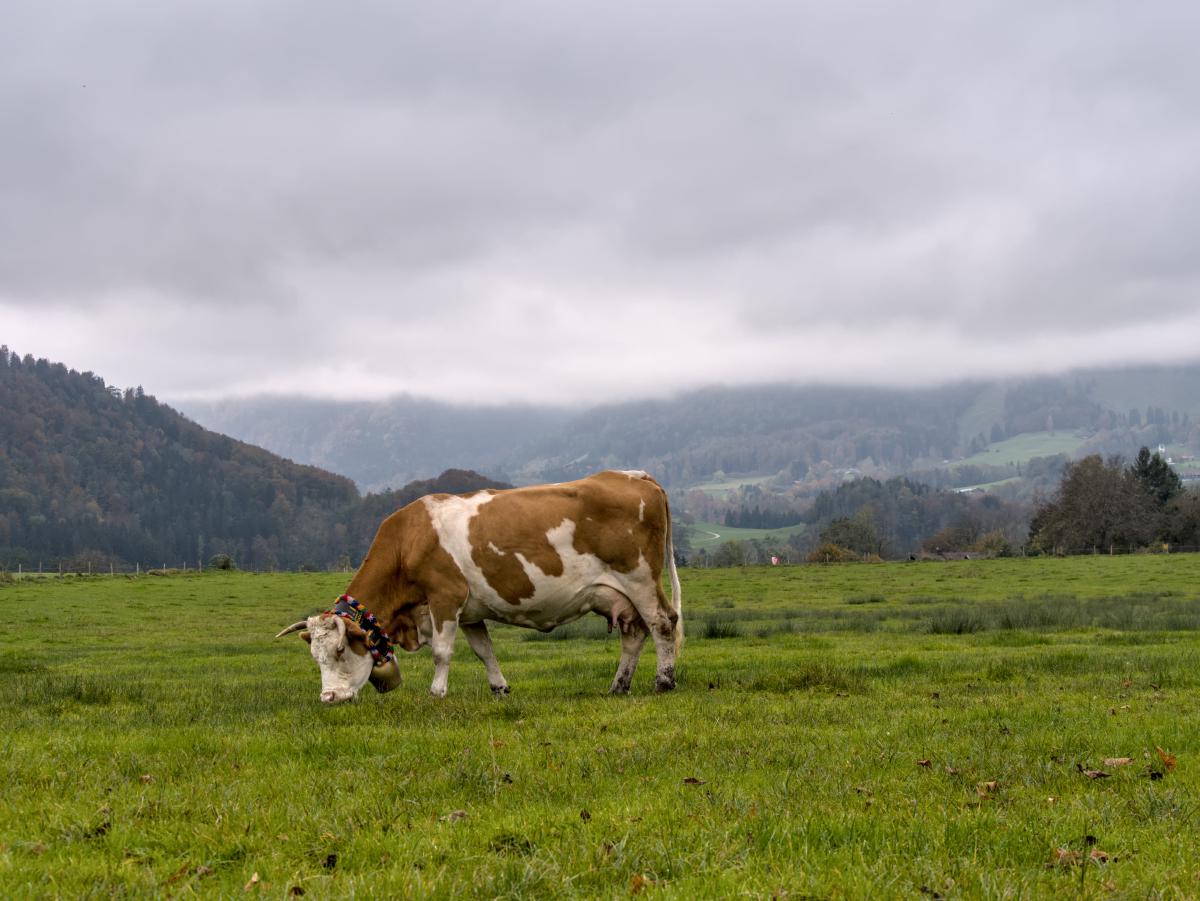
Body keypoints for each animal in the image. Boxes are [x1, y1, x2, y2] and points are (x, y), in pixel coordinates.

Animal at [276, 470, 682, 703]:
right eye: (316, 657)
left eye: (341, 650)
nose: (328, 697)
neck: (409, 540)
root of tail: (631, 475)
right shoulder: (470, 611)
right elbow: (484, 651)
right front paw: (499, 688)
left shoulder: (445, 597)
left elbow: (442, 652)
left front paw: (437, 693)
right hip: (618, 594)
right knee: (634, 634)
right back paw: (618, 686)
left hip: (640, 578)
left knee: (663, 623)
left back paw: (663, 682)